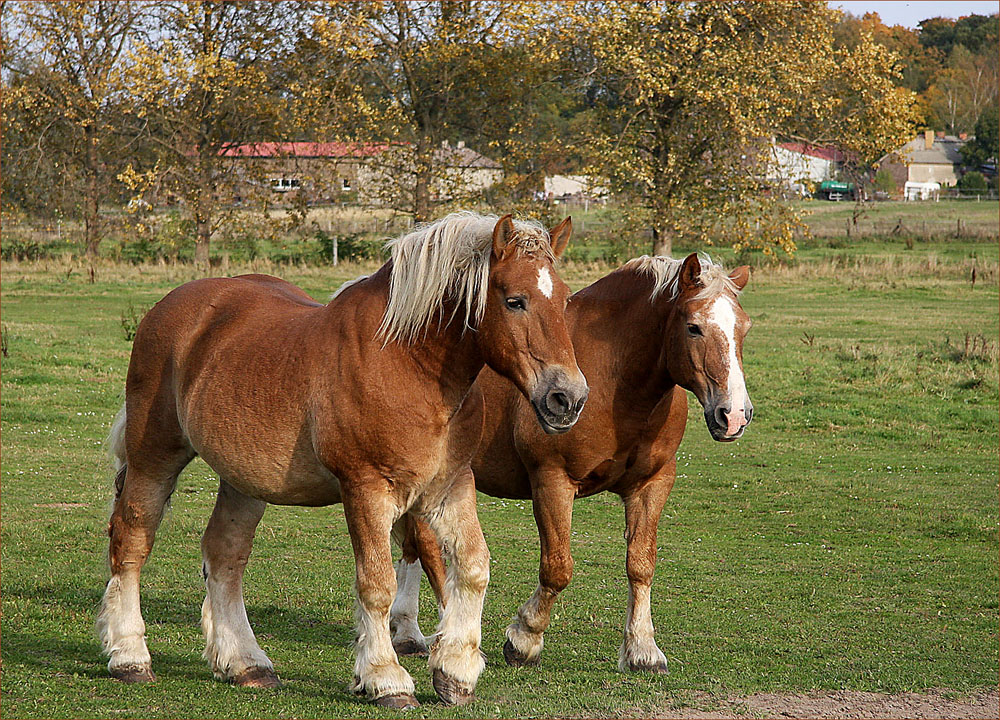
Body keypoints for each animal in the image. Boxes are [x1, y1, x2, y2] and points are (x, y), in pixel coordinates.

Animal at [94, 211, 588, 704]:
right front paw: (386, 677)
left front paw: (456, 672)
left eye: (564, 300)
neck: (408, 364)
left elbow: (472, 567)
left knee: (224, 555)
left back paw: (246, 664)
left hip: (243, 480)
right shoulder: (366, 489)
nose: (567, 398)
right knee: (131, 541)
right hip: (155, 455)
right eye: (515, 301)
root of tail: (170, 307)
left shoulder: (448, 486)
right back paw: (129, 656)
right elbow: (377, 584)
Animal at [388, 253, 752, 676]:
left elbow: (641, 564)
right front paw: (524, 639)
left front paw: (643, 649)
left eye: (743, 328)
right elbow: (558, 567)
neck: (612, 379)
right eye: (693, 327)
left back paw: (408, 632)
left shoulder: (652, 483)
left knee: (414, 546)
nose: (734, 415)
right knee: (428, 549)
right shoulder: (552, 481)